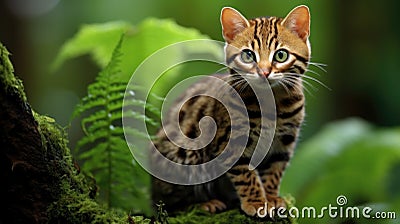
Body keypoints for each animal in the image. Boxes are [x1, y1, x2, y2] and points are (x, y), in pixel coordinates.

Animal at [152, 5, 310, 217]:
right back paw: (203, 204)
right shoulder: (231, 141)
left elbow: (274, 170)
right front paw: (257, 202)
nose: (264, 72)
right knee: (169, 204)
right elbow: (246, 175)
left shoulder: (284, 141)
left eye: (281, 55)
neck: (271, 103)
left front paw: (271, 198)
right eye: (248, 55)